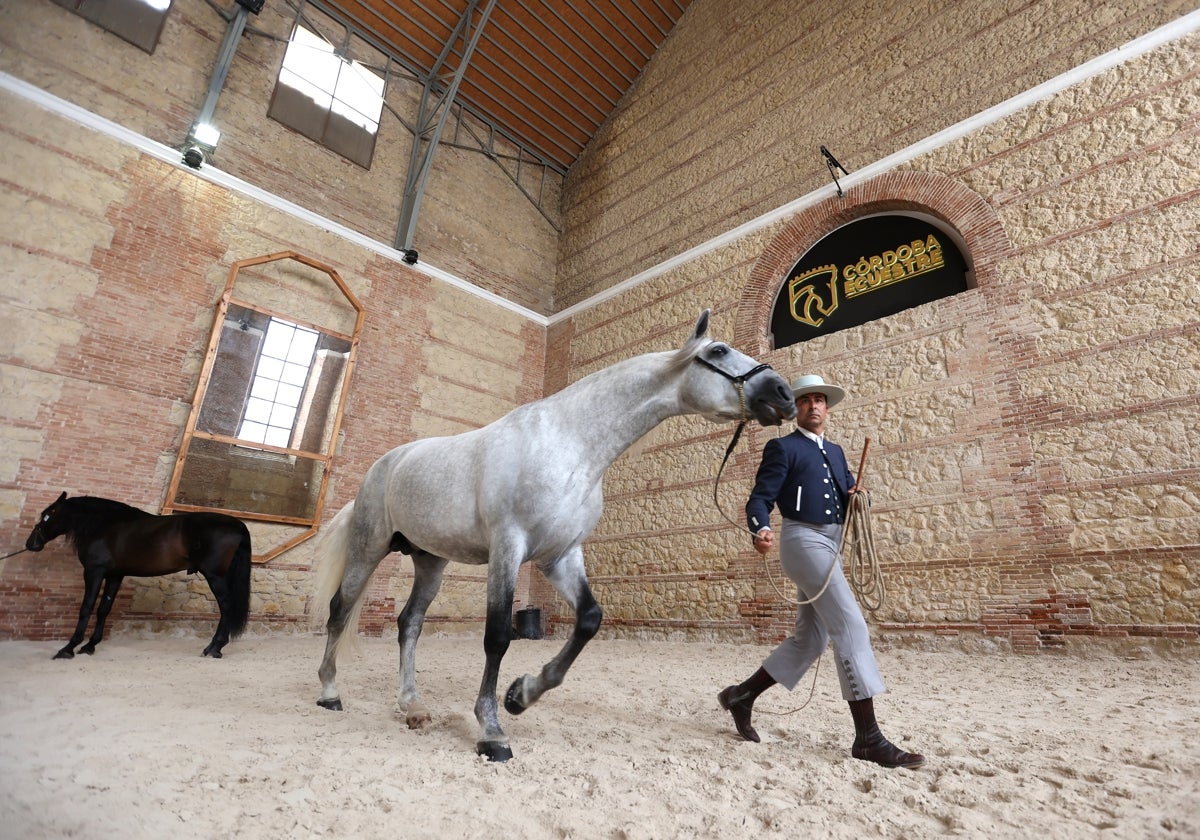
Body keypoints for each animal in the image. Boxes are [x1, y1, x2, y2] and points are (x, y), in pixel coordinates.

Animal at [25, 492, 253, 662]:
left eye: (47, 515)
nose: (30, 543)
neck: (103, 526)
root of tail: (238, 525)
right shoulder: (115, 575)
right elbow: (103, 609)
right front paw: (90, 646)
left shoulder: (94, 571)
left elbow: (86, 608)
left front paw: (68, 648)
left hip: (215, 577)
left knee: (226, 607)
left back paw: (214, 647)